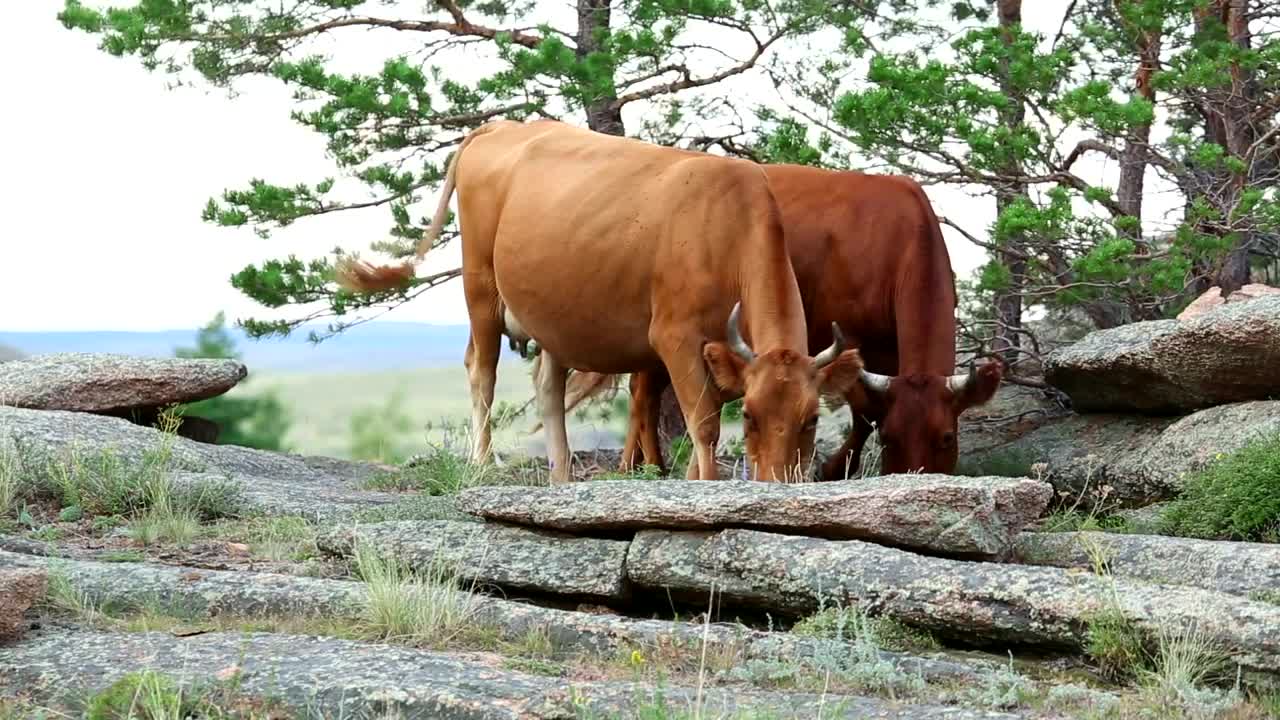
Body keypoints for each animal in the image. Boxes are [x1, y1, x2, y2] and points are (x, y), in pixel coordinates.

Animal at [335, 121, 865, 481]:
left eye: (811, 418)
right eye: (751, 416)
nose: (778, 482)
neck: (727, 230)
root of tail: (503, 126)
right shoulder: (674, 338)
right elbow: (705, 425)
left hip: (549, 313)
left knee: (548, 388)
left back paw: (561, 475)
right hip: (480, 287)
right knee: (481, 370)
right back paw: (484, 462)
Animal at [565, 163, 1003, 476]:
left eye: (946, 437)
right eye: (890, 440)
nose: (913, 476)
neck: (900, 241)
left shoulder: (886, 351)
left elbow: (866, 413)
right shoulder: (850, 339)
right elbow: (865, 412)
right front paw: (831, 469)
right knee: (644, 391)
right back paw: (647, 468)